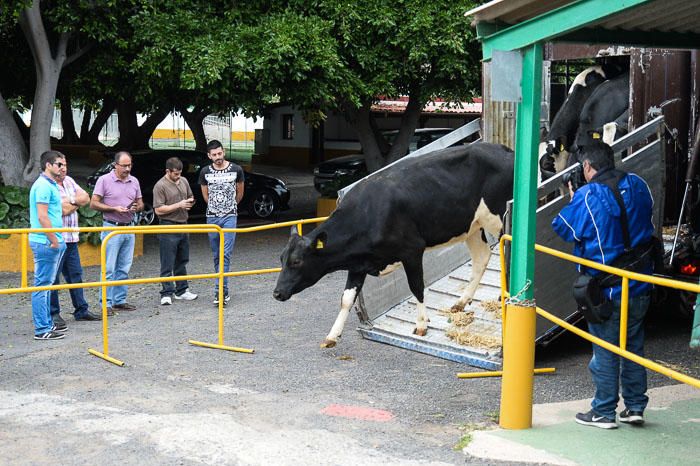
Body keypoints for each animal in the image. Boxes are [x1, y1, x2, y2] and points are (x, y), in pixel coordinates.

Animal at [274, 144, 516, 348]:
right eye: (281, 259)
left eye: (297, 261)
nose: (276, 293)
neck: (368, 212)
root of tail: (504, 150)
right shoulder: (358, 264)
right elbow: (346, 299)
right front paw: (332, 336)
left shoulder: (412, 250)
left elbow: (417, 287)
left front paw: (421, 325)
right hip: (472, 226)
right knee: (482, 257)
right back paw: (462, 301)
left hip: (500, 220)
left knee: (505, 253)